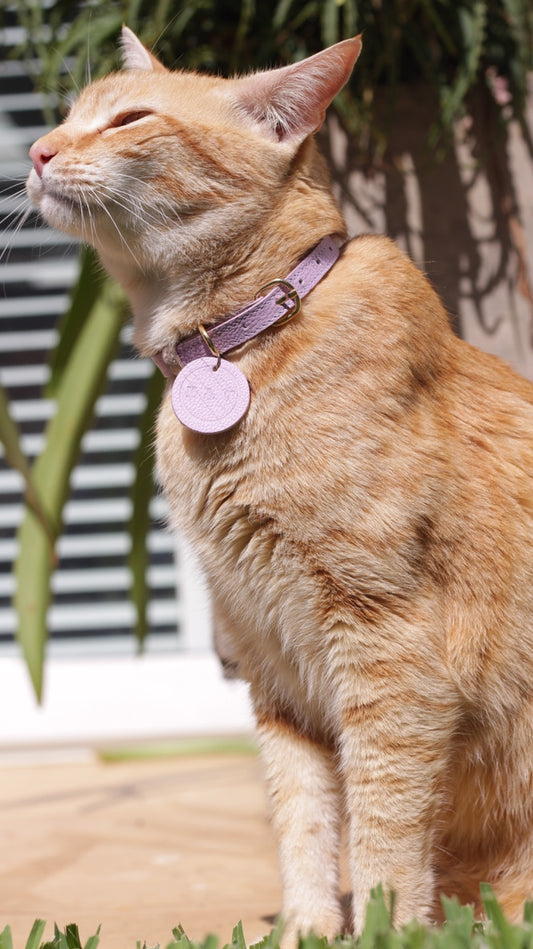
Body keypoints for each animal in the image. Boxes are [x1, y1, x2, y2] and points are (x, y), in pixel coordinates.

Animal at [27, 25, 533, 943]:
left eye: (127, 119)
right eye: (68, 116)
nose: (37, 150)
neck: (237, 338)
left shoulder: (389, 646)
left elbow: (383, 817)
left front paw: (386, 924)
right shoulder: (272, 659)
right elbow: (301, 815)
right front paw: (305, 927)